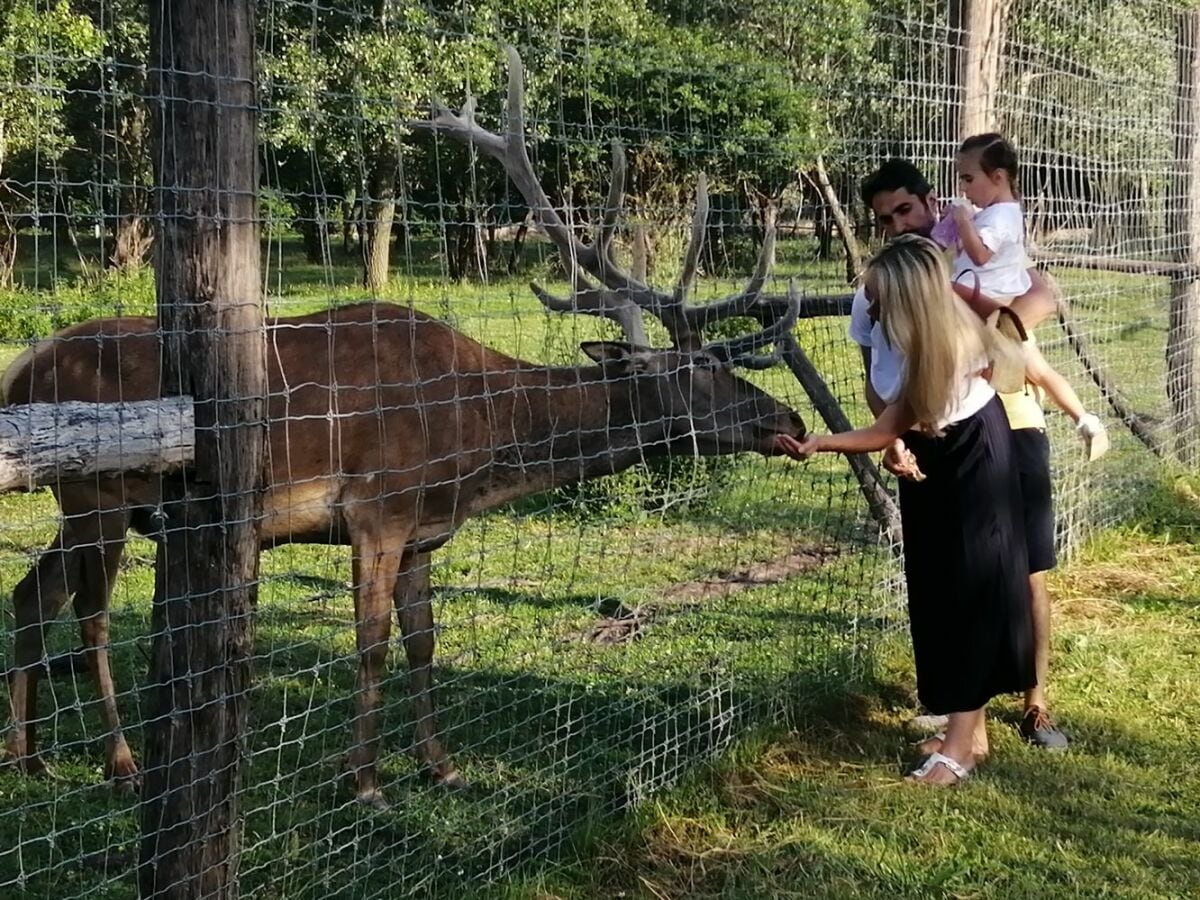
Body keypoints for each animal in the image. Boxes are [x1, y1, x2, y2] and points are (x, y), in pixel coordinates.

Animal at [2, 47, 806, 811]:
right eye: (697, 370)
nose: (790, 419)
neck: (480, 447)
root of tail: (22, 369)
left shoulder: (424, 528)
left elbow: (424, 643)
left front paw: (441, 766)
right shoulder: (376, 510)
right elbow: (372, 644)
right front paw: (364, 782)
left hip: (88, 502)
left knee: (31, 595)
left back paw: (29, 755)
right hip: (99, 492)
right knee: (92, 617)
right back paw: (121, 764)